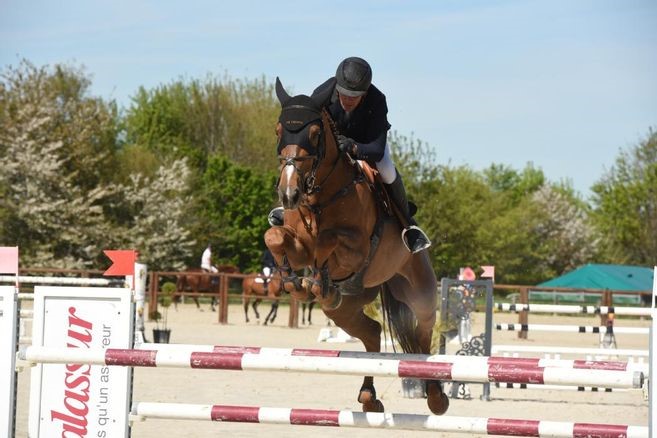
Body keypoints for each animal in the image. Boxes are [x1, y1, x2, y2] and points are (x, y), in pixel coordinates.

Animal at [264, 78, 448, 418]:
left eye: (314, 134)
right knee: (372, 331)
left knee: (422, 333)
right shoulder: (297, 242)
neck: (322, 196)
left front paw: (313, 279)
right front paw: (293, 282)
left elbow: (327, 240)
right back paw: (369, 397)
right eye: (279, 130)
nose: (289, 193)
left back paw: (435, 396)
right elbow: (276, 237)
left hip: (420, 291)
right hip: (346, 308)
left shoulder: (357, 249)